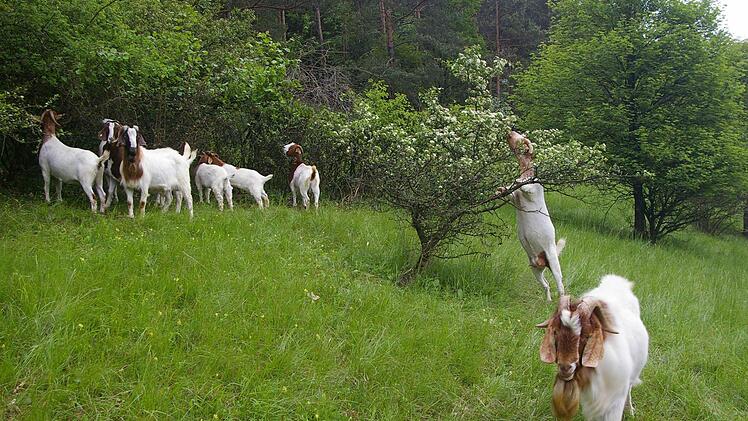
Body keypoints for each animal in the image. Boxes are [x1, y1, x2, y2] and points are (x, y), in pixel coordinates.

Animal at [502, 131, 565, 301]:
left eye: (520, 138)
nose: (509, 132)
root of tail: (542, 262)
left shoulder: (531, 190)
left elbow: (526, 186)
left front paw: (519, 180)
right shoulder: (515, 197)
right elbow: (510, 192)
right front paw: (502, 189)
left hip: (554, 265)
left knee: (561, 287)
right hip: (535, 271)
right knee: (547, 285)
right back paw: (548, 300)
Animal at [536, 275, 649, 421]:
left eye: (586, 335)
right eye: (556, 332)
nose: (565, 368)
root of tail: (616, 282)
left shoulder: (615, 401)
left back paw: (631, 410)